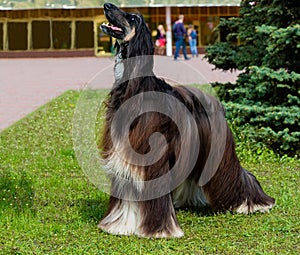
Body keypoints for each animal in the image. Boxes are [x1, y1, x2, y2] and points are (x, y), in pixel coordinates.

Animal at [98, 2, 274, 237]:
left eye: (133, 18)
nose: (107, 5)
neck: (135, 88)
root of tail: (216, 103)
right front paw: (121, 225)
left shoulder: (150, 158)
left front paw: (159, 230)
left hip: (217, 151)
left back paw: (253, 204)